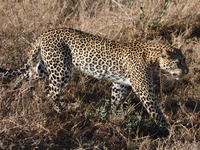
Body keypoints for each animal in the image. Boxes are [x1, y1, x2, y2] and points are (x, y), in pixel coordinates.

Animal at [0, 27, 188, 136]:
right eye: (179, 62)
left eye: (184, 61)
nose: (186, 71)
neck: (152, 59)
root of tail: (46, 32)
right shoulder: (144, 89)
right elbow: (156, 111)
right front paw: (168, 131)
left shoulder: (120, 84)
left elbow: (115, 101)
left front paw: (111, 118)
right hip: (61, 69)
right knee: (51, 92)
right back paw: (62, 111)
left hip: (46, 66)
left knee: (27, 73)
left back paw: (13, 89)